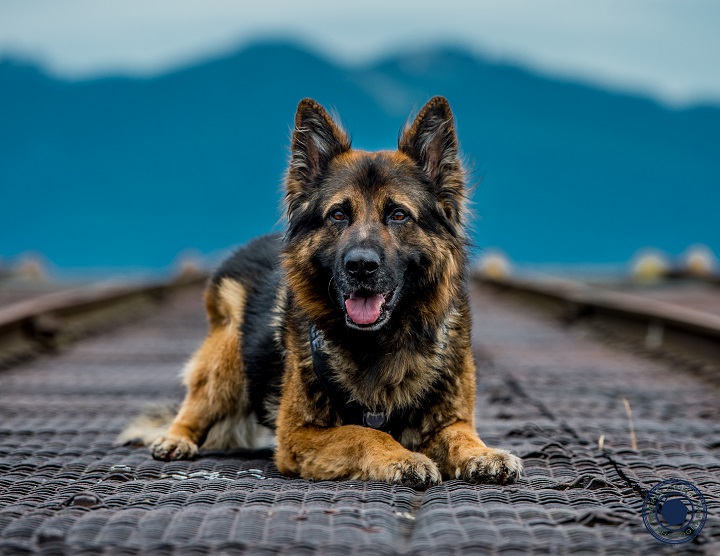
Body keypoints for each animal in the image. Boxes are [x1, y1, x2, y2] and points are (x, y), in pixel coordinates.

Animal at [124, 96, 524, 486]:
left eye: (398, 215)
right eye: (338, 215)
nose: (360, 266)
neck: (380, 343)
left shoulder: (451, 418)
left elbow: (461, 434)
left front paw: (484, 454)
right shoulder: (298, 435)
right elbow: (365, 433)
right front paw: (402, 457)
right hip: (226, 359)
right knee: (194, 406)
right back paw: (175, 438)